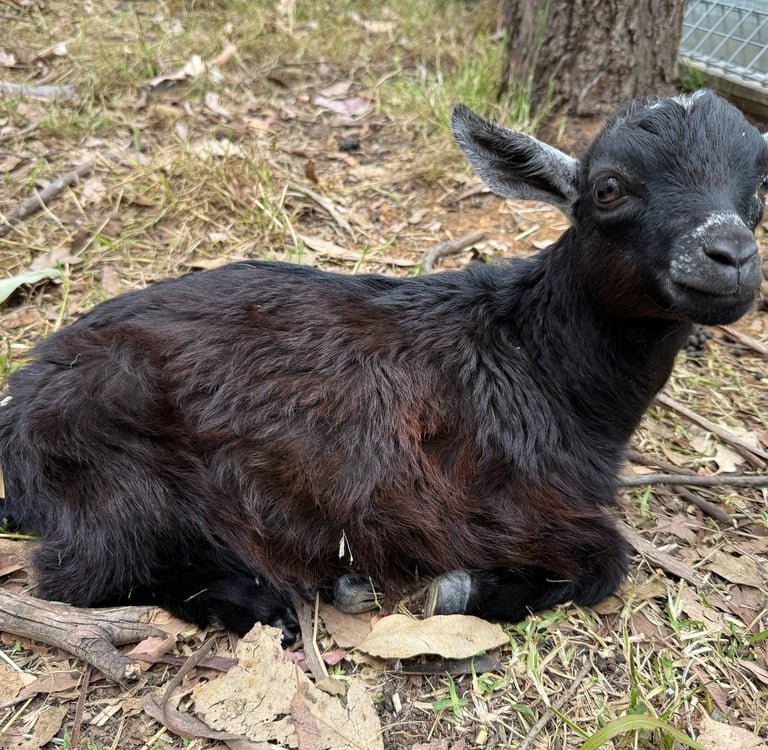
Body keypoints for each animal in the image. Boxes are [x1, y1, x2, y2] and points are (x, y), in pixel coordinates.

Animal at [1, 90, 766, 642]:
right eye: (608, 188)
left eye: (758, 191)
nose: (729, 256)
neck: (534, 356)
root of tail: (22, 399)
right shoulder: (485, 500)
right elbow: (608, 559)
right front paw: (461, 589)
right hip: (115, 470)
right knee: (81, 571)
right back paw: (268, 606)